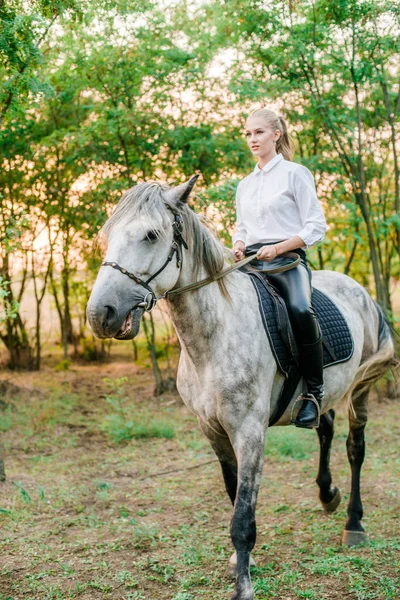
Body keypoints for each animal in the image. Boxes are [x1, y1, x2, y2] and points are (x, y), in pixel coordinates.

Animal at [86, 176, 396, 600]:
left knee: (355, 449)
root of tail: (360, 291)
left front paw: (243, 586)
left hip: (360, 391)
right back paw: (327, 495)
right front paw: (240, 563)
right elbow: (234, 496)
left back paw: (354, 523)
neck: (215, 336)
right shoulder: (213, 430)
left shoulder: (250, 432)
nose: (100, 314)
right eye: (107, 235)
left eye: (150, 235)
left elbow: (243, 518)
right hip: (329, 389)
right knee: (325, 427)